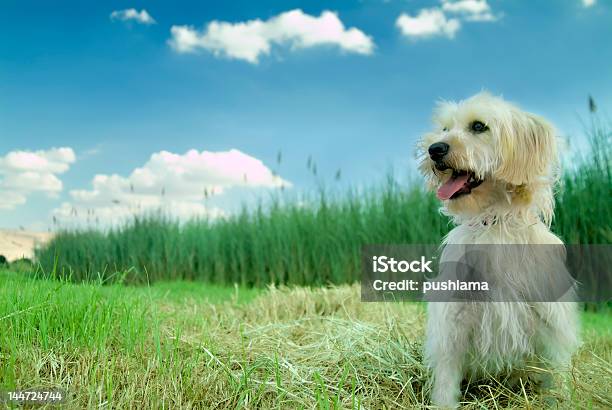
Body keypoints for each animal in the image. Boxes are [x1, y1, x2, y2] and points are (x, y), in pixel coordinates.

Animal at [418, 92, 580, 406]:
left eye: (479, 126)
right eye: (445, 128)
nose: (434, 149)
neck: (494, 224)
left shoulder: (550, 322)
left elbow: (557, 375)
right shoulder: (453, 323)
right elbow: (446, 379)